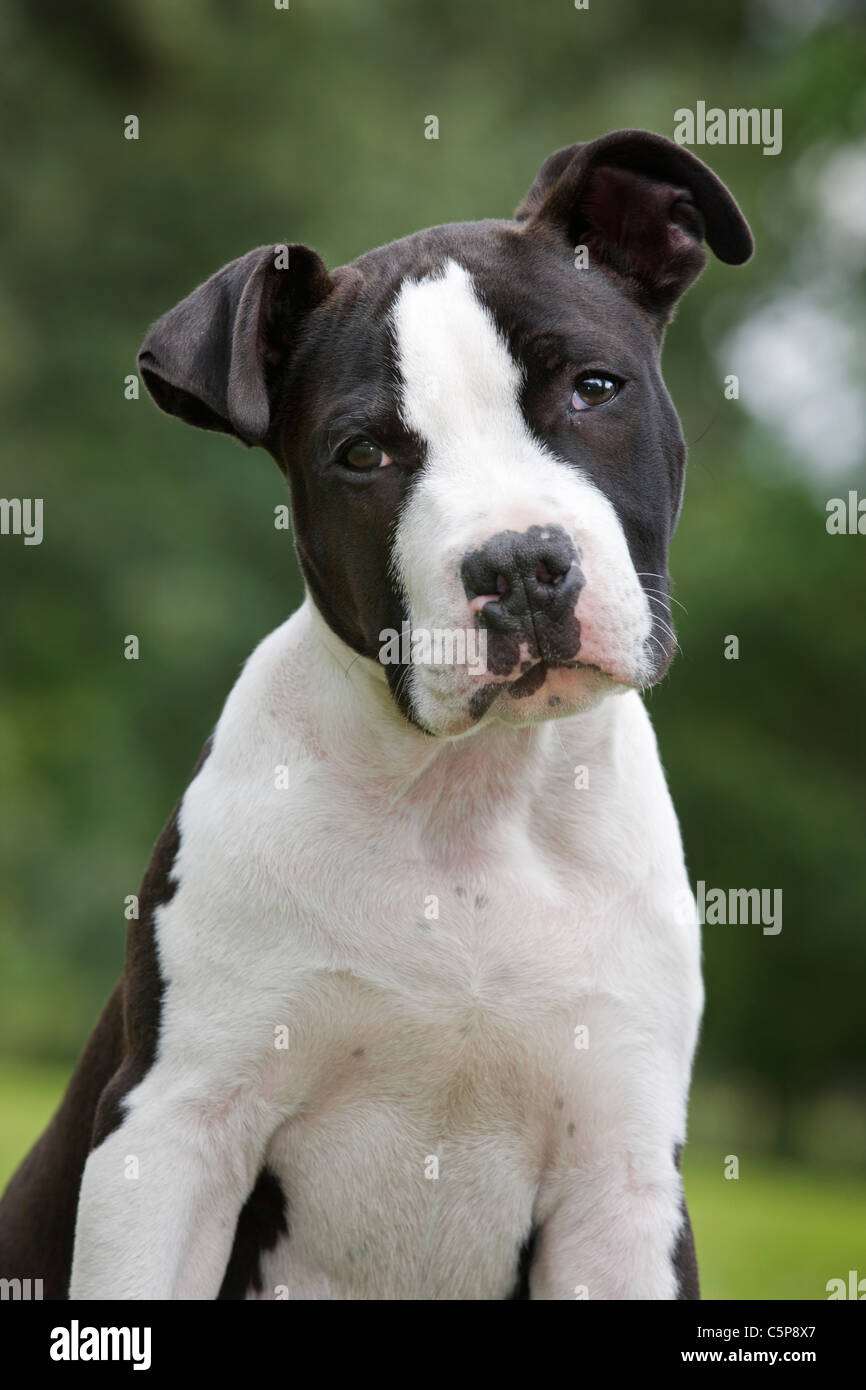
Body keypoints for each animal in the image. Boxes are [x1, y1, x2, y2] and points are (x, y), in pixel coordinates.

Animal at [0, 130, 750, 1301]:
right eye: (364, 455)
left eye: (594, 388)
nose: (519, 565)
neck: (467, 798)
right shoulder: (168, 1135)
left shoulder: (619, 1183)